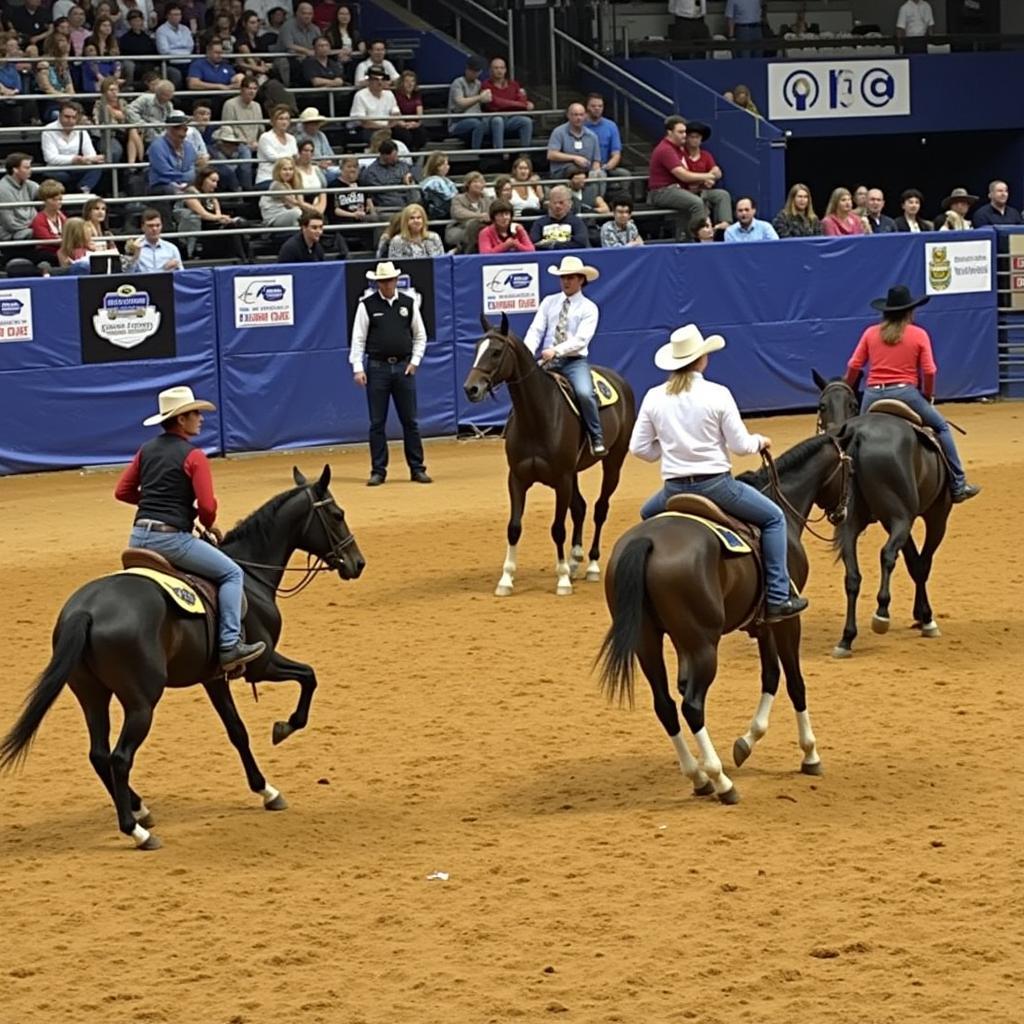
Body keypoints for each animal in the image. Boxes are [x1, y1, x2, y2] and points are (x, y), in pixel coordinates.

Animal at [0, 464, 366, 847]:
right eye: (337, 514)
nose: (357, 562)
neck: (251, 574)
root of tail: (85, 610)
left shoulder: (215, 678)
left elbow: (237, 731)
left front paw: (266, 790)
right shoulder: (261, 663)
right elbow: (309, 676)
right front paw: (285, 727)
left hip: (91, 695)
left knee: (98, 754)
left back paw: (139, 808)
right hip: (141, 703)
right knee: (119, 757)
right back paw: (136, 831)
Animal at [462, 315, 630, 598]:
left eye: (496, 352)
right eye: (476, 349)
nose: (471, 388)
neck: (538, 417)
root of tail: (619, 380)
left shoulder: (561, 480)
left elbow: (558, 529)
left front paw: (562, 580)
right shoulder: (517, 479)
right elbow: (514, 528)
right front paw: (506, 579)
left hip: (613, 463)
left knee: (600, 509)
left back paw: (592, 565)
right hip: (574, 473)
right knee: (580, 508)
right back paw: (574, 560)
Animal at [598, 436, 851, 802]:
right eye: (851, 469)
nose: (842, 512)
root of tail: (647, 541)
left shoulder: (760, 624)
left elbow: (770, 676)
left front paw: (746, 742)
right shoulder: (785, 619)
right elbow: (794, 682)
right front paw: (810, 754)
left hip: (648, 642)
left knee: (666, 704)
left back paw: (698, 776)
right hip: (704, 644)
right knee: (691, 706)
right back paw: (721, 782)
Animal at [811, 374, 946, 655]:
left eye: (851, 404)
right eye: (822, 406)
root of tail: (858, 435)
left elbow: (914, 562)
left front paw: (920, 615)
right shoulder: (937, 514)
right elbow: (921, 564)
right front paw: (926, 618)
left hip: (853, 524)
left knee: (852, 575)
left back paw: (847, 638)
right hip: (903, 518)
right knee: (888, 555)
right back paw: (881, 613)